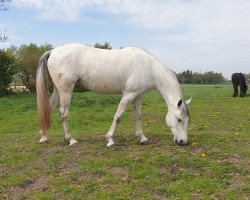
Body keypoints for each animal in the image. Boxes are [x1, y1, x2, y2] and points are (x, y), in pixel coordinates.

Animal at [35, 44, 191, 147]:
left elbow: (138, 117)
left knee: (50, 109)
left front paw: (142, 138)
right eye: (179, 119)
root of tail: (53, 51)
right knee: (63, 113)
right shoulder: (128, 95)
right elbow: (118, 117)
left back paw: (44, 136)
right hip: (66, 90)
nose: (183, 141)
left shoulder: (137, 96)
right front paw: (110, 140)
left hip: (58, 90)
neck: (149, 68)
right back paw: (71, 139)